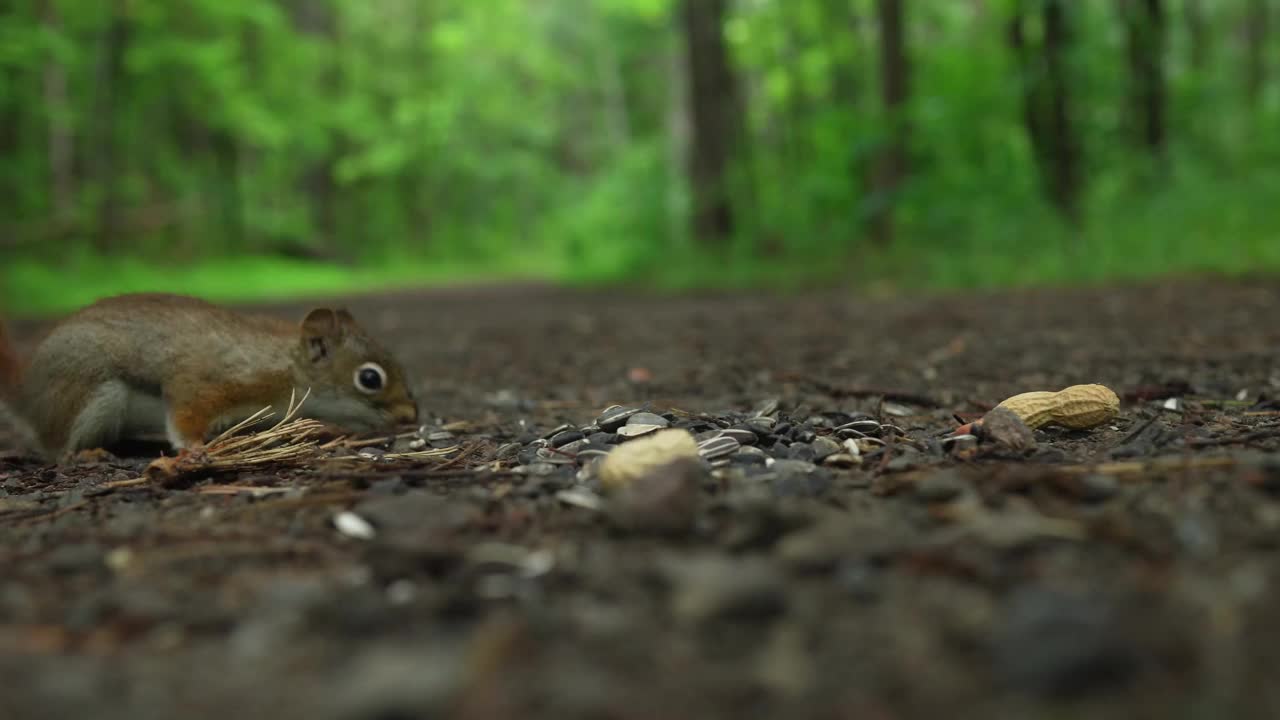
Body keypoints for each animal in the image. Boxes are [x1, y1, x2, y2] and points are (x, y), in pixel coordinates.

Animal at [0, 292, 419, 458]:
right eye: (370, 378)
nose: (411, 418)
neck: (285, 364)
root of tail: (27, 393)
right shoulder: (211, 379)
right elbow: (185, 412)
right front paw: (196, 448)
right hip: (87, 392)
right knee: (56, 446)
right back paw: (86, 454)